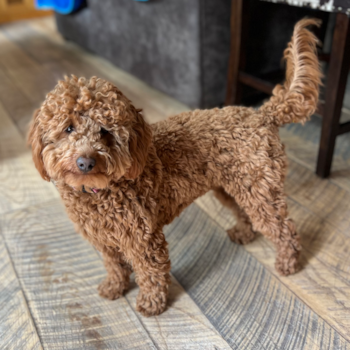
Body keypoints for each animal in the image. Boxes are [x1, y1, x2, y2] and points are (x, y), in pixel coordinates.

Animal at [28, 19, 322, 318]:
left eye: (105, 131)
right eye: (68, 128)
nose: (86, 162)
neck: (100, 191)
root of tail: (262, 115)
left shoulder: (143, 239)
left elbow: (151, 273)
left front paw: (151, 304)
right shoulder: (104, 241)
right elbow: (114, 266)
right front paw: (114, 287)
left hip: (260, 190)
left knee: (284, 229)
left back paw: (288, 262)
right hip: (233, 187)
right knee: (244, 212)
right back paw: (244, 233)